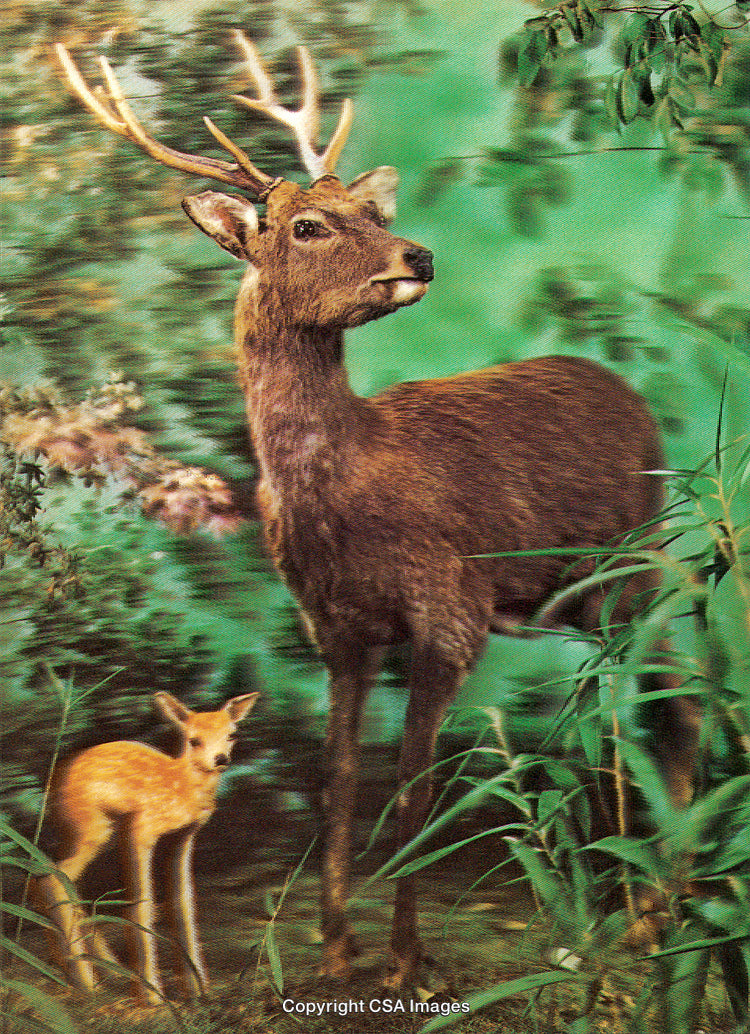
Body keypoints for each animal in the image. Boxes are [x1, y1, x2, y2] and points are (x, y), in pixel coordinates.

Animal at [36, 691, 258, 1003]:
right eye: (194, 740)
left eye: (232, 734)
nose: (220, 759)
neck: (181, 788)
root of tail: (51, 786)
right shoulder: (141, 828)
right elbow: (142, 902)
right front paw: (152, 997)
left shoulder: (183, 838)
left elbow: (183, 902)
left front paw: (198, 990)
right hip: (94, 827)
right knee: (52, 876)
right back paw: (87, 981)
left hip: (92, 832)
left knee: (49, 875)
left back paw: (92, 971)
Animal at [56, 33, 701, 990]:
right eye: (307, 225)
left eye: (361, 206)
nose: (419, 257)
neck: (345, 490)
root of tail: (636, 400)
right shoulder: (336, 627)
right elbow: (338, 780)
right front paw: (335, 952)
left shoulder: (448, 606)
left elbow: (414, 790)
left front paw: (406, 962)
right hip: (581, 595)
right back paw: (649, 900)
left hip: (630, 562)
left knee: (676, 688)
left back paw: (654, 913)